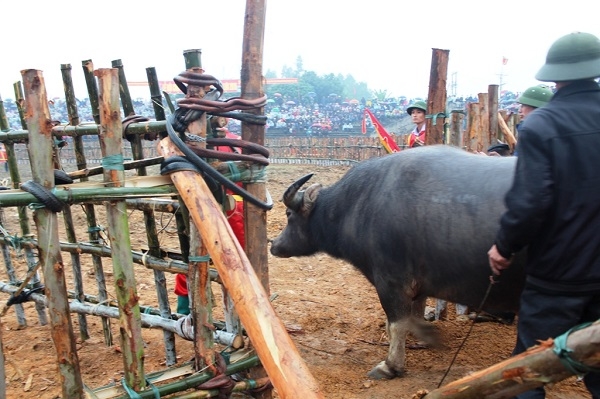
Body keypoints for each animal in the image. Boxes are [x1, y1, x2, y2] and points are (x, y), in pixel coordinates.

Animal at [270, 146, 524, 382]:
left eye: (289, 214)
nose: (274, 245)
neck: (357, 205)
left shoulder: (391, 282)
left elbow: (397, 323)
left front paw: (391, 365)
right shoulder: (419, 284)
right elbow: (415, 314)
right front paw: (425, 335)